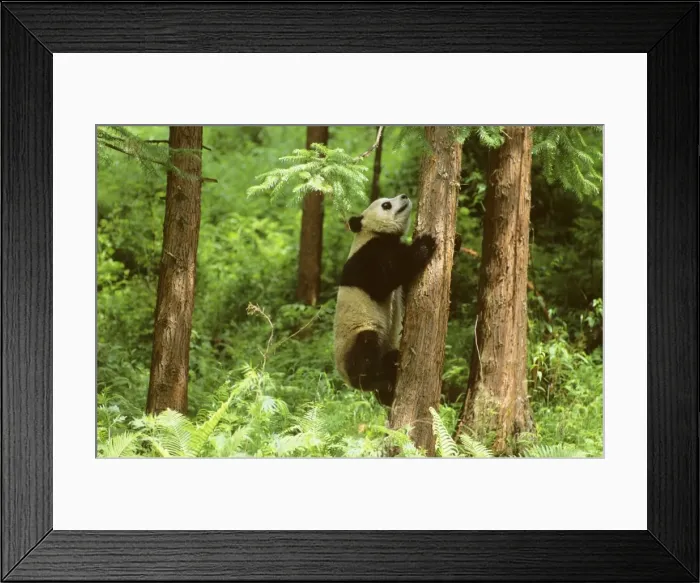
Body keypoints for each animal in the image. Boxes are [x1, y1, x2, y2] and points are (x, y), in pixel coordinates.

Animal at [333, 194, 438, 407]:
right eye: (386, 205)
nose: (404, 196)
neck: (373, 233)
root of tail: (345, 379)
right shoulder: (366, 258)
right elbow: (384, 281)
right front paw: (425, 243)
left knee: (387, 359)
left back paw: (388, 386)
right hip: (354, 337)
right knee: (365, 347)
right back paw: (375, 381)